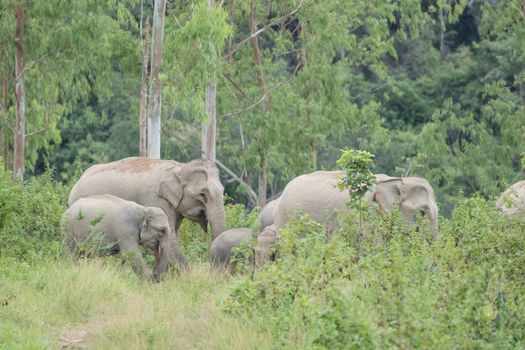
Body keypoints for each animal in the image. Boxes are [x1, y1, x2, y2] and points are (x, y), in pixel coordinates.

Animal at [68, 157, 226, 266]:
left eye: (223, 190)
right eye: (203, 194)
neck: (179, 168)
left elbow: (172, 237)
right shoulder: (156, 200)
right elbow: (171, 241)